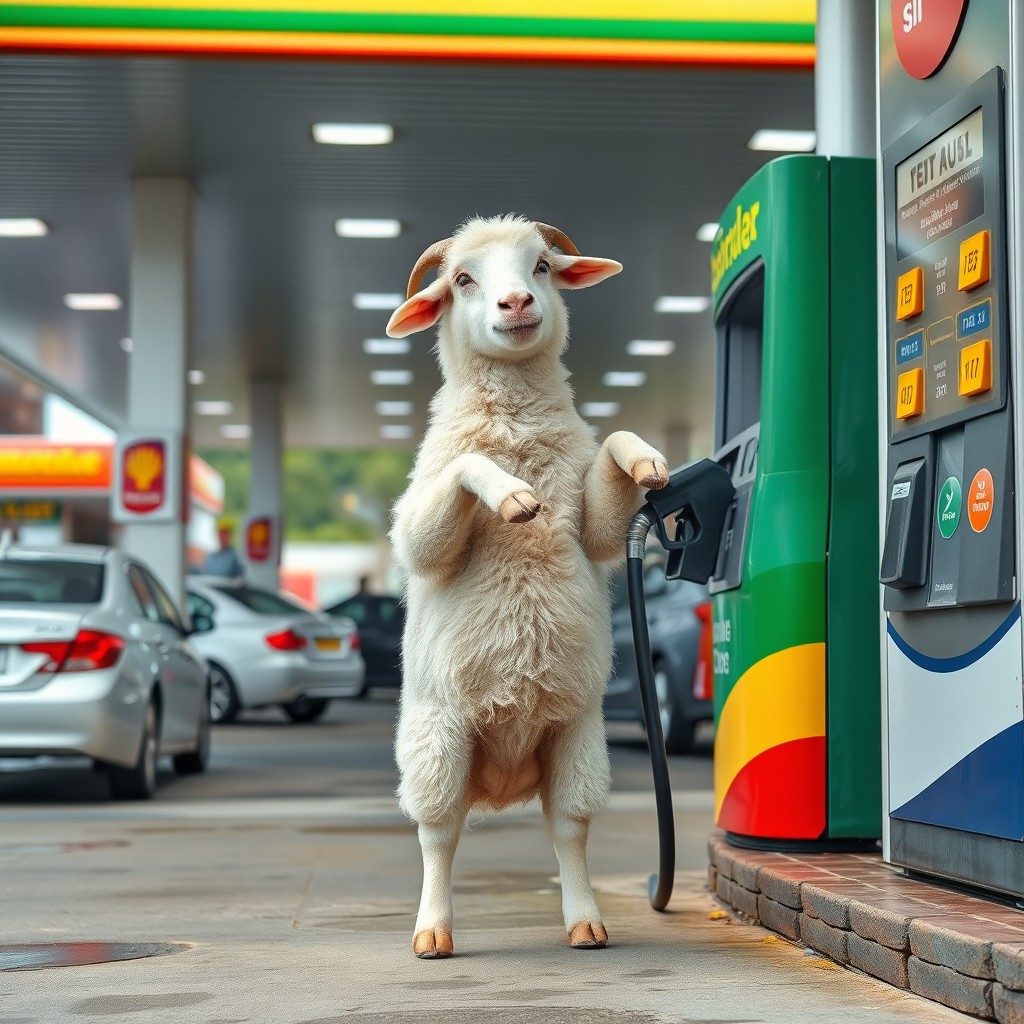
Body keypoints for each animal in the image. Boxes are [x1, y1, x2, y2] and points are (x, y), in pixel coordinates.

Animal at [385, 214, 669, 959]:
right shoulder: (419, 525)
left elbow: (612, 456)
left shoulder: (593, 526)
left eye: (541, 265)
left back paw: (585, 921)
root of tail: (500, 783)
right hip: (438, 738)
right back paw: (433, 931)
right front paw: (512, 496)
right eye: (461, 279)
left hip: (576, 735)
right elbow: (463, 473)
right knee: (438, 833)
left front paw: (649, 461)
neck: (513, 418)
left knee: (569, 824)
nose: (516, 303)